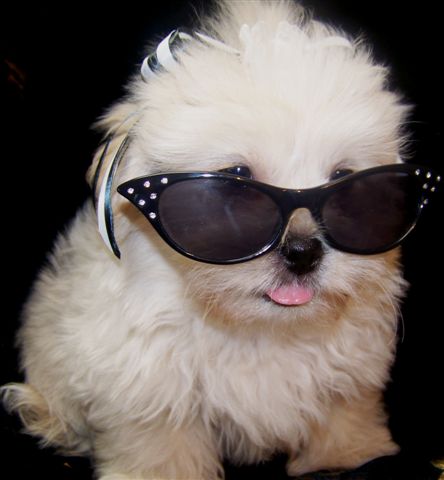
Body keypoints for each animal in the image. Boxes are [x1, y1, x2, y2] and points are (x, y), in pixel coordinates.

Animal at [2, 1, 440, 478]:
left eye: (347, 183)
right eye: (235, 185)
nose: (303, 252)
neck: (260, 330)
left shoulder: (350, 370)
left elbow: (344, 412)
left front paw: (352, 453)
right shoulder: (147, 380)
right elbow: (160, 442)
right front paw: (158, 472)